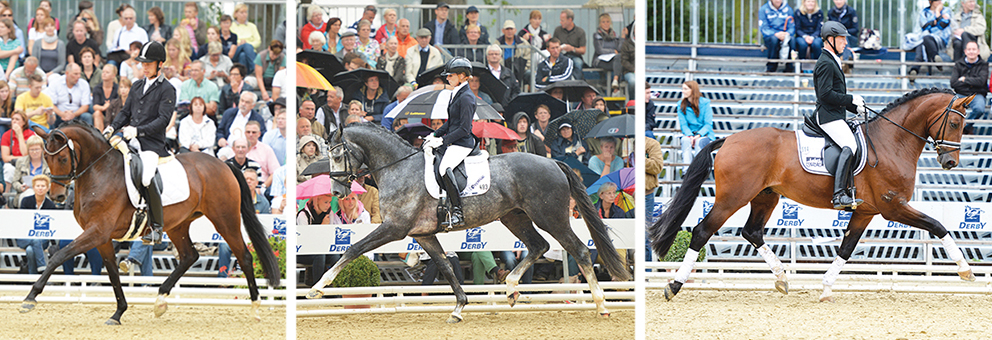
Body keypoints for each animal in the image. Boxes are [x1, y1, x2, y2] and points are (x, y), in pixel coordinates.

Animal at [18, 122, 280, 324]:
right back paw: (160, 301)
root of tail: (224, 164)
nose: (57, 197)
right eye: (45, 157)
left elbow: (58, 256)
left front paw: (30, 298)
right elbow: (112, 273)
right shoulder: (102, 238)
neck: (99, 172)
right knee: (189, 256)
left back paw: (256, 308)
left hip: (225, 219)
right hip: (178, 225)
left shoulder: (97, 232)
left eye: (62, 157)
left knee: (244, 256)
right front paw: (118, 313)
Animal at [304, 123, 628, 324]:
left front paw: (318, 288)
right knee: (539, 246)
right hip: (514, 216)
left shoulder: (394, 228)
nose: (337, 192)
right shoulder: (423, 235)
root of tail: (553, 162)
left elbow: (353, 249)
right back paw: (510, 289)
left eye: (337, 154)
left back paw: (601, 305)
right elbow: (446, 267)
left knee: (578, 250)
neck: (398, 167)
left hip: (550, 217)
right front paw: (459, 308)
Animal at [652, 88, 976, 302]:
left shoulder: (865, 211)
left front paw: (826, 287)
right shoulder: (893, 207)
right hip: (733, 198)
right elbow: (938, 226)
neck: (891, 142)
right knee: (702, 231)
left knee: (752, 232)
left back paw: (782, 278)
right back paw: (674, 285)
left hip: (765, 196)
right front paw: (965, 270)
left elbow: (846, 248)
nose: (950, 162)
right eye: (955, 123)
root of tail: (729, 139)